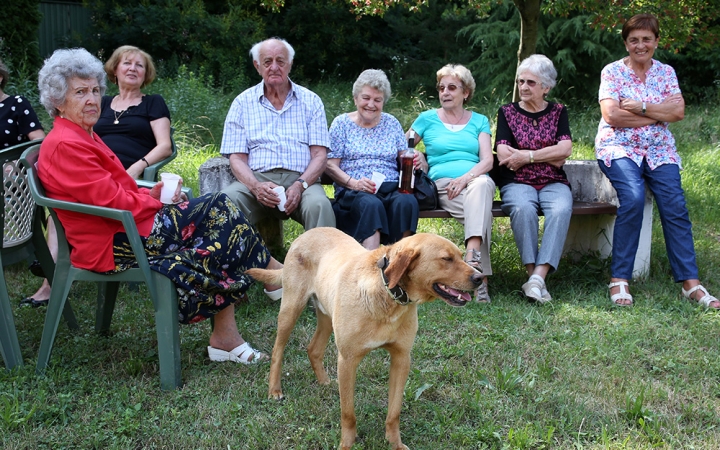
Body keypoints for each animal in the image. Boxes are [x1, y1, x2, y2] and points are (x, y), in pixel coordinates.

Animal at [246, 229, 478, 450]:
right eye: (446, 259)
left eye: (460, 256)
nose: (479, 277)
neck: (387, 294)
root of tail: (306, 234)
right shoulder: (347, 361)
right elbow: (348, 414)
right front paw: (347, 444)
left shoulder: (402, 359)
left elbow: (394, 412)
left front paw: (394, 443)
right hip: (290, 310)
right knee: (278, 351)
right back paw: (274, 390)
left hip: (326, 316)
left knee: (313, 349)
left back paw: (324, 381)